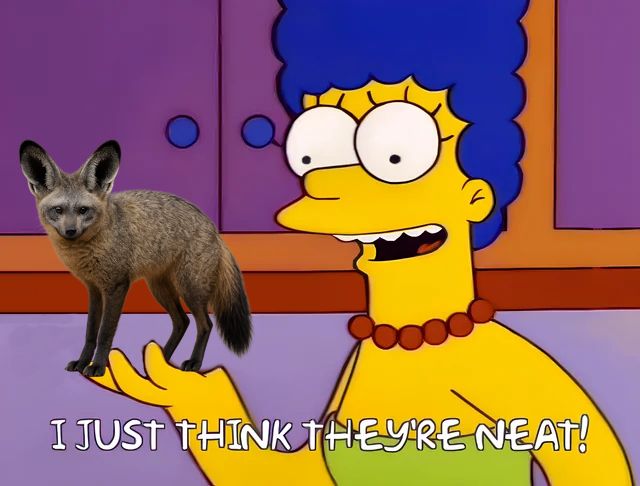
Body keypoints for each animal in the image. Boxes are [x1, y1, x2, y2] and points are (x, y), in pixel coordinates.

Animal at [19, 140, 252, 377]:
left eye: (83, 210)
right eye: (58, 210)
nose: (70, 231)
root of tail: (214, 229)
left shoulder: (117, 285)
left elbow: (104, 333)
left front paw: (98, 366)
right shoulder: (93, 289)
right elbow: (90, 332)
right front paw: (83, 362)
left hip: (190, 289)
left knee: (205, 325)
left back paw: (193, 362)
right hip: (159, 289)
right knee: (182, 321)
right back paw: (160, 361)